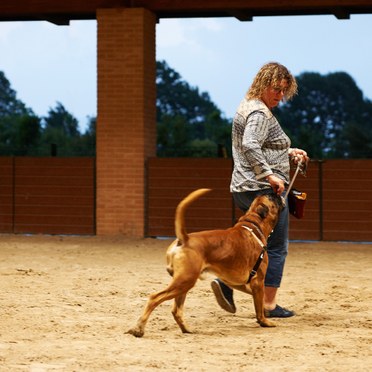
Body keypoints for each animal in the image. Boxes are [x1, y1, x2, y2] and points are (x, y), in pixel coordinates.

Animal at [126, 189, 284, 338]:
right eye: (271, 198)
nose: (276, 191)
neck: (254, 225)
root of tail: (185, 239)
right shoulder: (258, 281)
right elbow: (259, 306)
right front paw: (264, 321)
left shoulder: (237, 282)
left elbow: (258, 300)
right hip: (184, 282)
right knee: (154, 298)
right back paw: (139, 328)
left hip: (183, 284)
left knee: (176, 310)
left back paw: (186, 329)